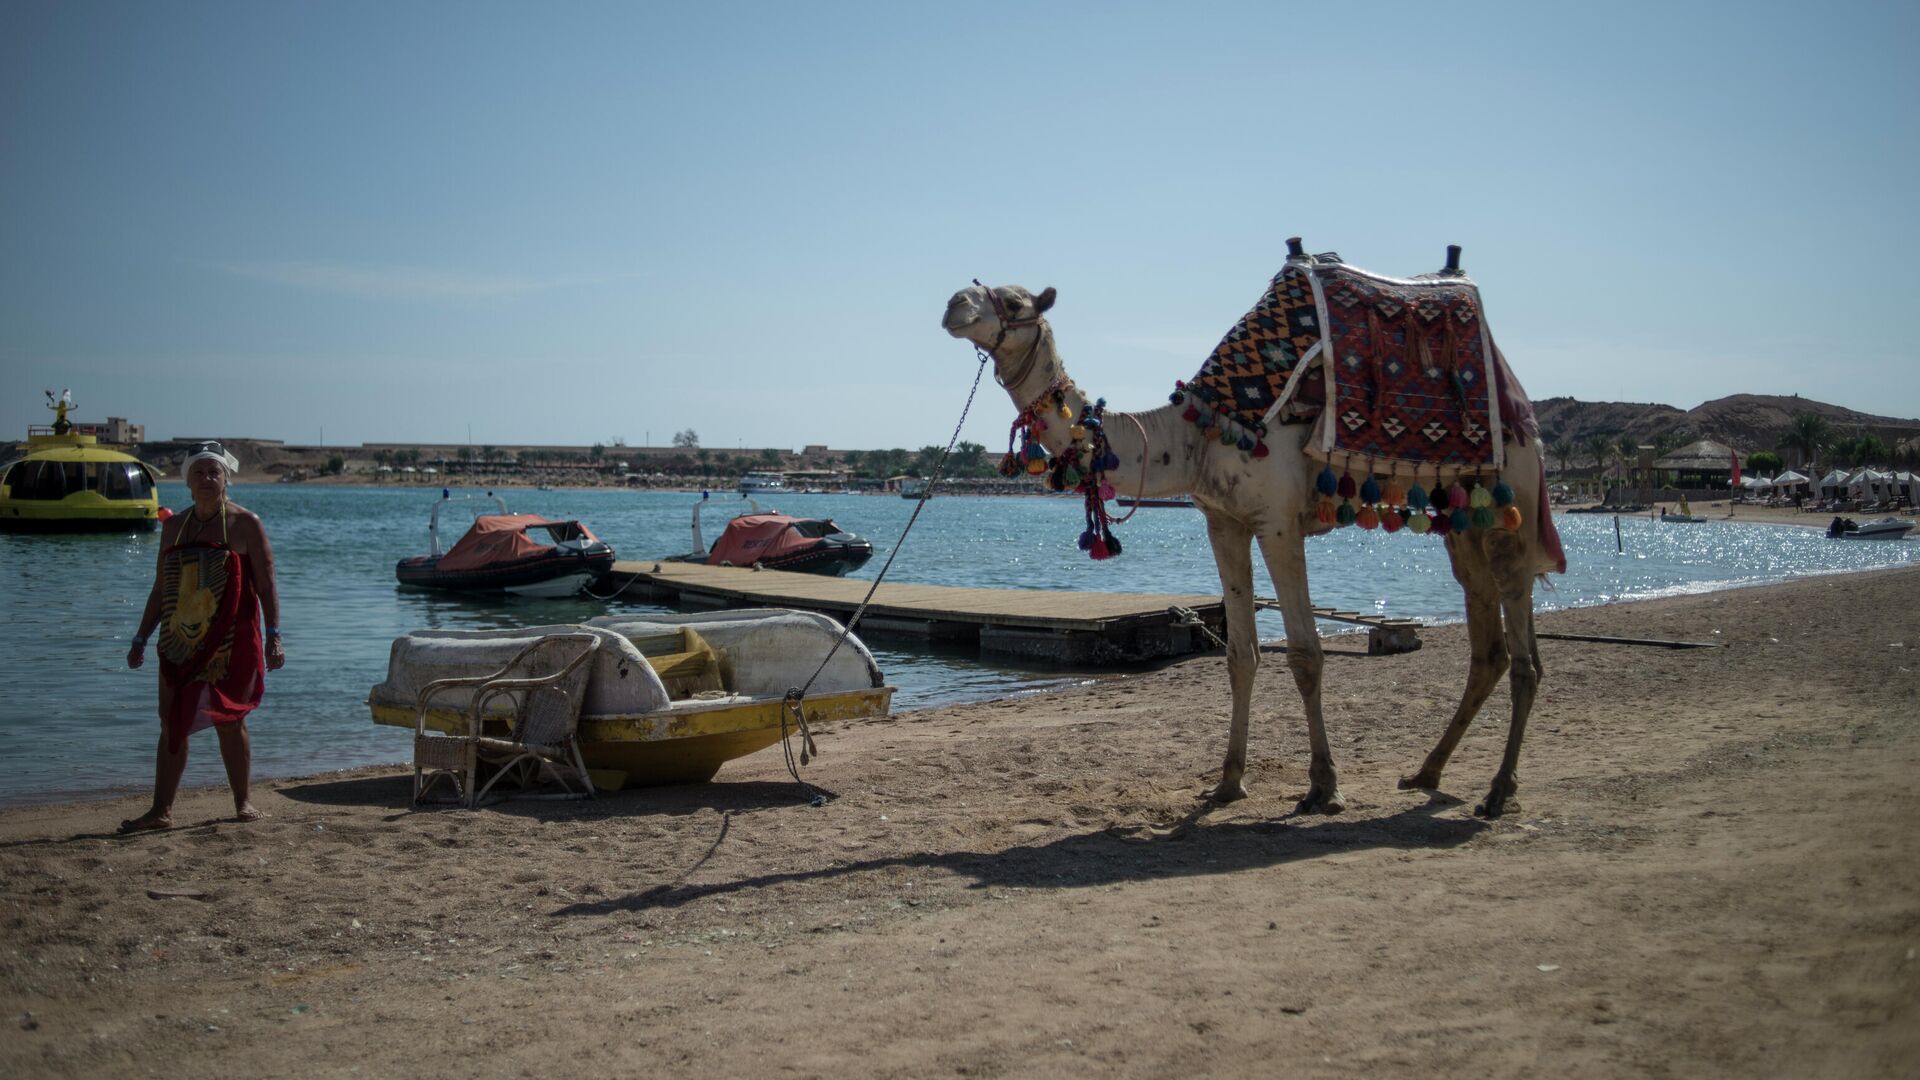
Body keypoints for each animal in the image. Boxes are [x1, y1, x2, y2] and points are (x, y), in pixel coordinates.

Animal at [940, 245, 1559, 814]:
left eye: (1015, 302)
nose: (953, 305)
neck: (1194, 434)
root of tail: (1524, 413)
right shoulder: (1224, 522)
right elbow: (1241, 655)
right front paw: (1228, 782)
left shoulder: (1277, 521)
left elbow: (1306, 653)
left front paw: (1323, 787)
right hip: (1463, 522)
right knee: (1488, 648)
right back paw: (1426, 773)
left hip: (1514, 503)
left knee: (1525, 654)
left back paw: (1498, 792)